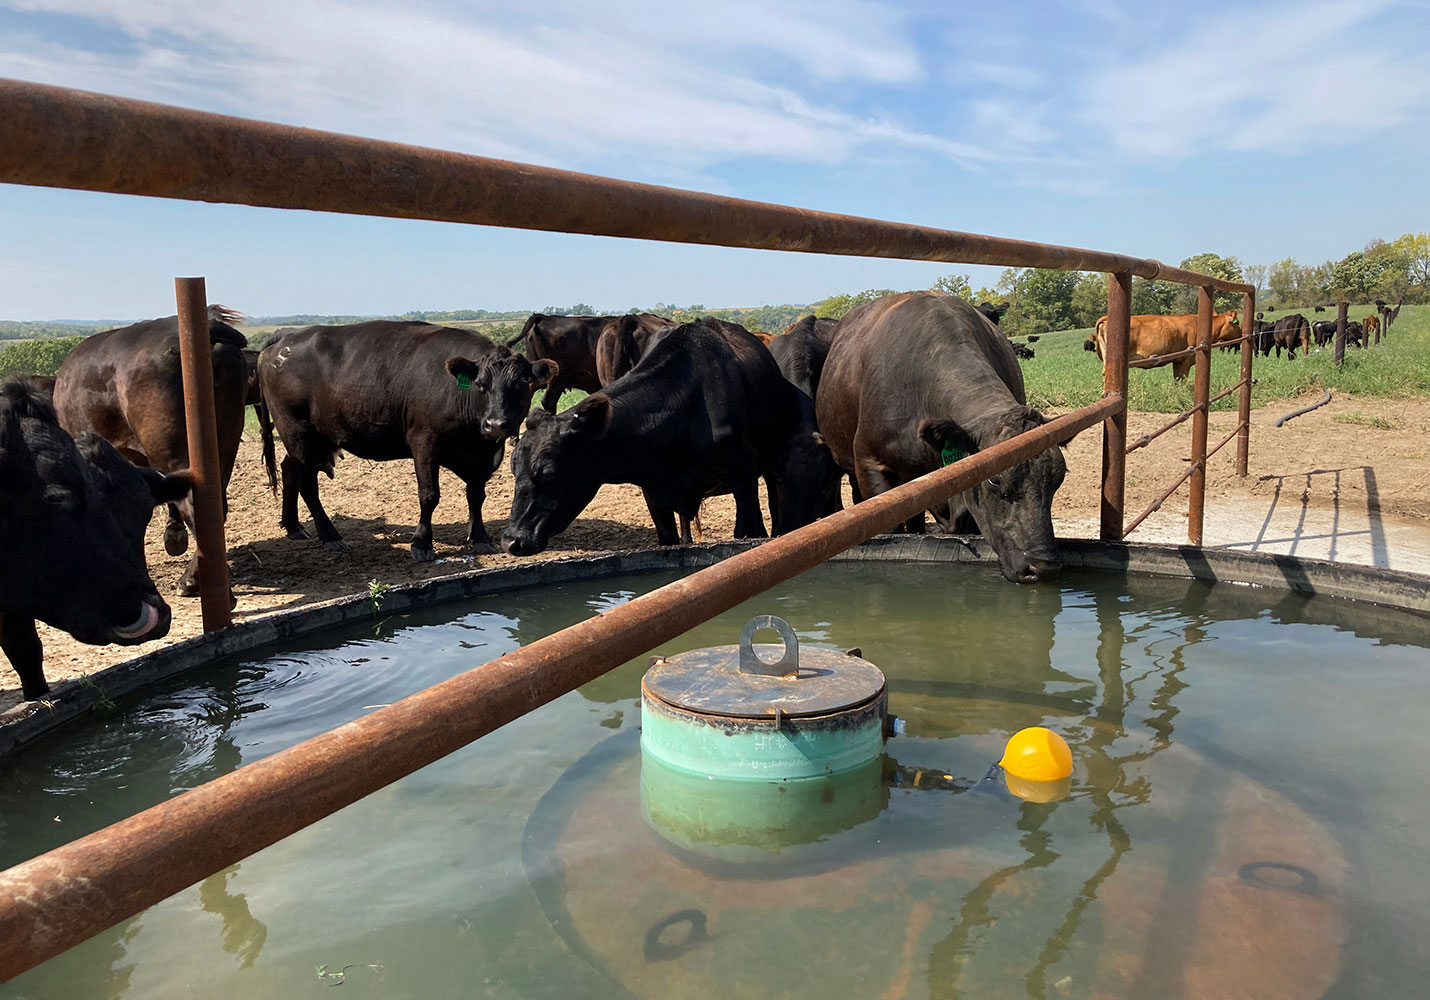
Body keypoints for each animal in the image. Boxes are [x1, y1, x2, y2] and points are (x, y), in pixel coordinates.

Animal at [263, 323, 557, 560]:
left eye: (522, 383)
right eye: (481, 384)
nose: (495, 424)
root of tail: (285, 336)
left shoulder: (482, 455)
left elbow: (476, 495)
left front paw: (481, 538)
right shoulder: (424, 443)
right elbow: (429, 495)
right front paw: (422, 544)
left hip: (311, 440)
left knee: (289, 470)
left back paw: (294, 527)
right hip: (299, 433)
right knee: (308, 484)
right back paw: (330, 536)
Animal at [503, 319, 835, 555]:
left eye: (548, 473)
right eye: (513, 468)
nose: (511, 541)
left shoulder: (744, 473)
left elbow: (748, 533)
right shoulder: (652, 489)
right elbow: (669, 539)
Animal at [1092, 309, 1241, 380]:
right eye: (1237, 323)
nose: (1241, 336)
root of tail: (1106, 318)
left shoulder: (1178, 361)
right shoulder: (1187, 360)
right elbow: (1181, 380)